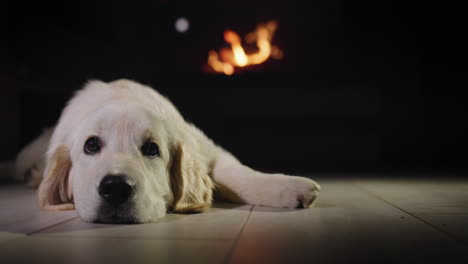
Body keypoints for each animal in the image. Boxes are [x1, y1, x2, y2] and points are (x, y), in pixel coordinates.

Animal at [15, 80, 322, 223]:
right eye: (91, 145)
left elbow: (238, 173)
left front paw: (289, 187)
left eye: (152, 149)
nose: (116, 188)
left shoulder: (205, 148)